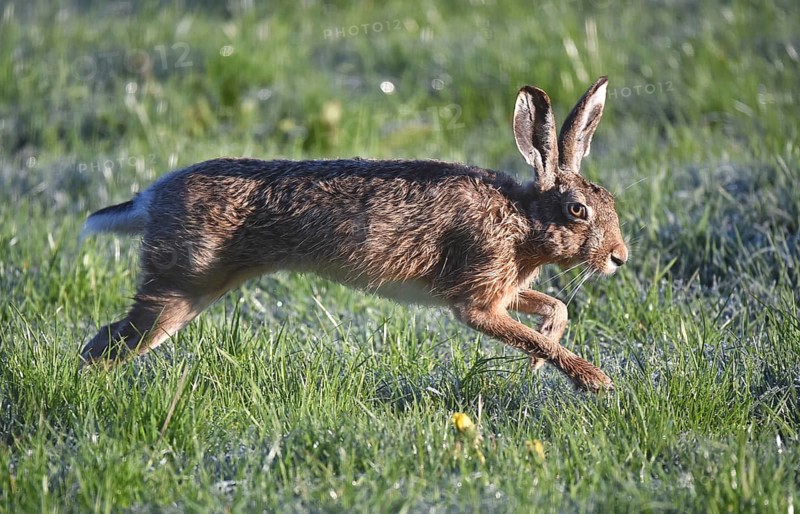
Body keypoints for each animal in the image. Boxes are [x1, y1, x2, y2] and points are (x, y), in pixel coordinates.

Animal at [80, 76, 627, 392]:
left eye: (608, 203)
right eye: (578, 211)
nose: (619, 257)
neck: (522, 218)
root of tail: (153, 194)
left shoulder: (503, 290)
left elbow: (553, 309)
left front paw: (539, 362)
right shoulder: (474, 301)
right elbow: (522, 331)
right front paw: (594, 381)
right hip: (184, 282)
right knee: (108, 344)